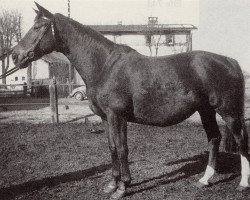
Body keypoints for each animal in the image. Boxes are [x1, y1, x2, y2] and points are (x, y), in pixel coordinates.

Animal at [10, 2, 249, 199]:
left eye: (38, 27)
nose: (14, 55)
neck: (104, 66)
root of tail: (231, 62)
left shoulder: (118, 116)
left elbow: (122, 147)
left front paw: (123, 187)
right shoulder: (106, 118)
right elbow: (112, 148)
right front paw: (112, 185)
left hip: (228, 111)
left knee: (241, 140)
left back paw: (243, 184)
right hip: (206, 110)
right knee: (214, 139)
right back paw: (204, 180)